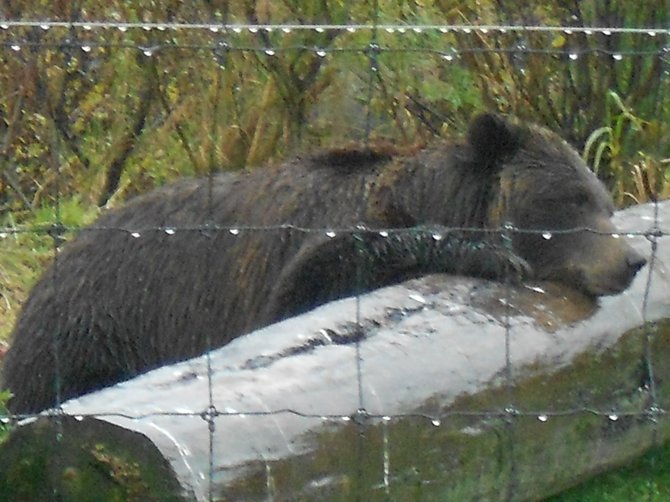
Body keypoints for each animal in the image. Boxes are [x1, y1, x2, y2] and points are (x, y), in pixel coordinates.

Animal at [2, 113, 648, 412]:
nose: (632, 260)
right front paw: (491, 253)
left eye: (603, 199)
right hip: (93, 333)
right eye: (571, 200)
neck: (435, 197)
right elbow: (317, 277)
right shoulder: (297, 261)